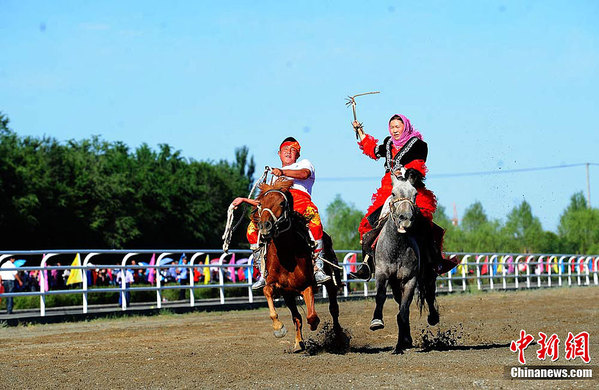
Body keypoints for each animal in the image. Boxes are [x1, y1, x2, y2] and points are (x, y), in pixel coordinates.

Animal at [253, 180, 342, 354]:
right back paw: (299, 342)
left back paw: (338, 337)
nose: (265, 226)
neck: (287, 256)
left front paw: (314, 324)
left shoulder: (307, 285)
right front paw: (279, 329)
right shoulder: (282, 290)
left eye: (281, 203)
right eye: (260, 203)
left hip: (331, 283)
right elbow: (270, 294)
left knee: (334, 309)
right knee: (298, 317)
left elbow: (312, 316)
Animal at [368, 169, 438, 354]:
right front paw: (377, 321)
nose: (405, 218)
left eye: (415, 194)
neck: (396, 249)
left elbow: (404, 311)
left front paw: (400, 345)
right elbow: (381, 296)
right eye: (393, 193)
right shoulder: (382, 274)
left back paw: (432, 318)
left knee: (429, 293)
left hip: (425, 274)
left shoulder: (410, 280)